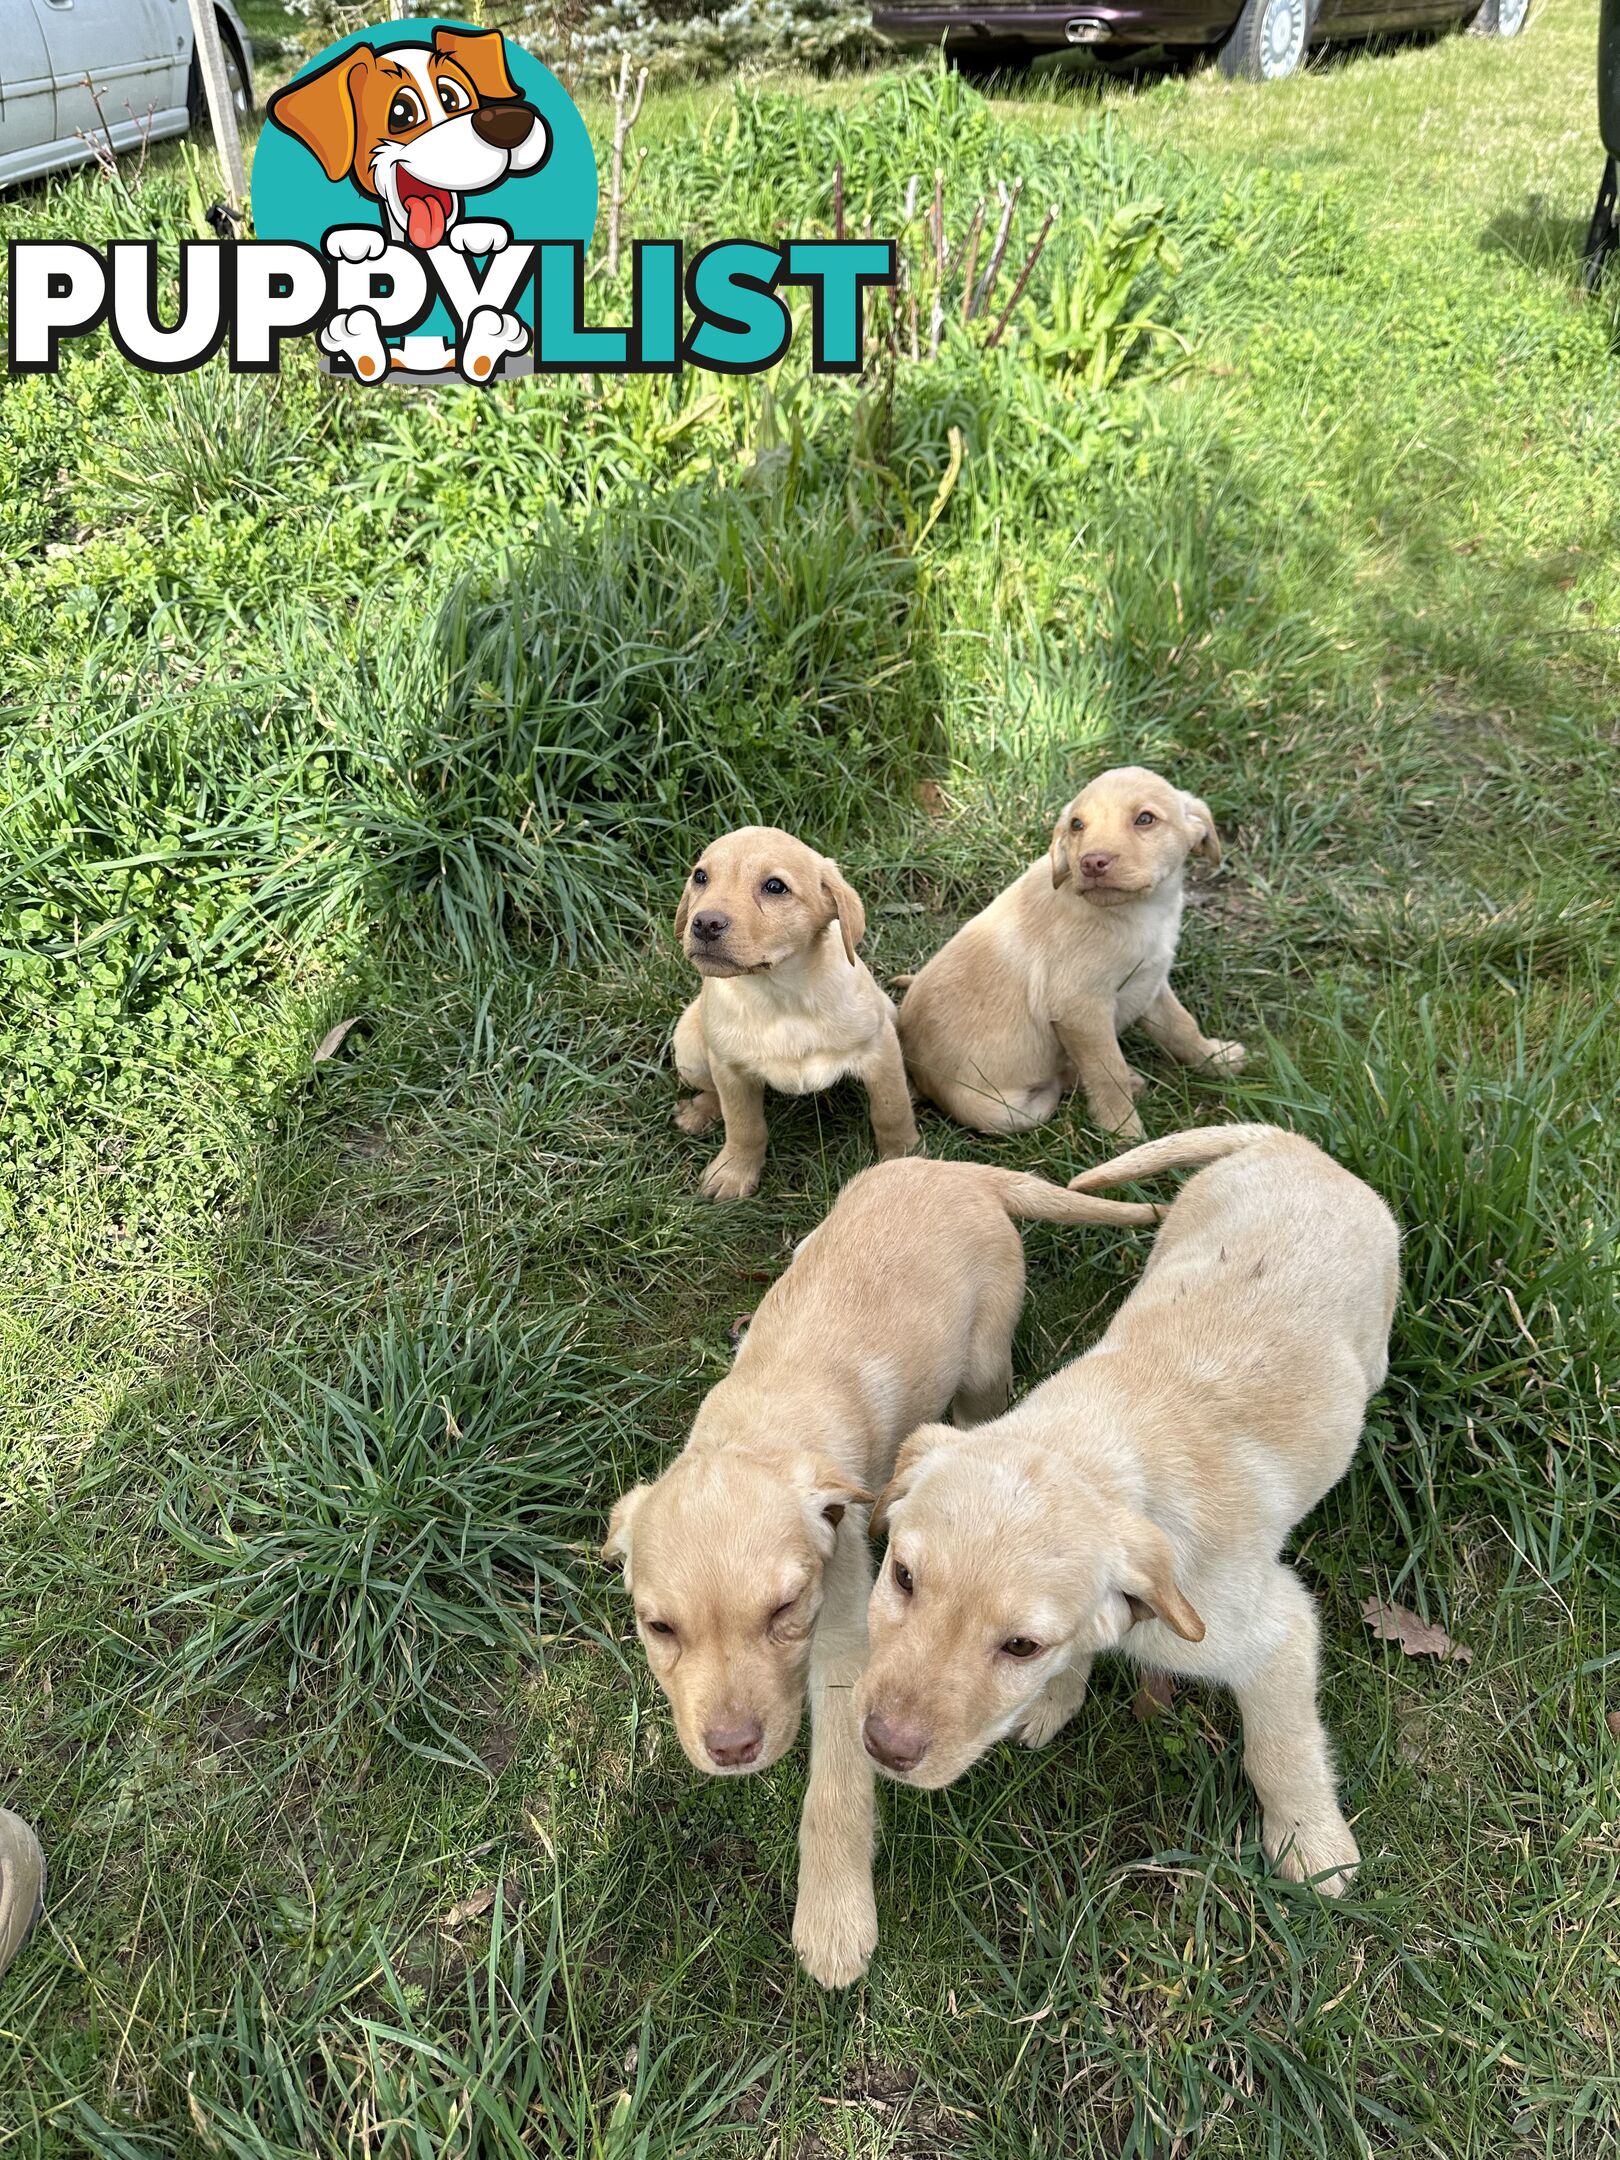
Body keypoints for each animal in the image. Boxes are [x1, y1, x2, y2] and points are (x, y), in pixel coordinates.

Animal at [604, 1157, 1157, 1978]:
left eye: (784, 1610)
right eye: (659, 1628)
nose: (733, 1752)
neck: (758, 1432)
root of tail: (951, 1167)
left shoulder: (844, 1646)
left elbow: (834, 1791)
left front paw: (834, 1919)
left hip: (986, 1351)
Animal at [673, 820, 920, 1200]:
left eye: (775, 887)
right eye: (700, 877)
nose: (704, 923)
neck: (781, 994)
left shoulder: (880, 1050)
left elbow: (890, 1109)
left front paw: (902, 1156)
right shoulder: (730, 1070)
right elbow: (744, 1125)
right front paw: (734, 1171)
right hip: (689, 1049)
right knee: (713, 1091)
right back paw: (700, 1110)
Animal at [855, 1123, 1399, 1900]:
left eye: (1020, 1646)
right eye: (902, 1578)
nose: (882, 1746)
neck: (1089, 1449)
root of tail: (1298, 1146)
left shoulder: (1277, 1634)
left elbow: (1281, 1749)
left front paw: (1311, 1845)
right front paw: (1054, 1700)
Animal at [902, 777, 1244, 1149]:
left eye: (1145, 819)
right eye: (1077, 825)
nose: (1092, 863)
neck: (1139, 912)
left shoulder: (1150, 982)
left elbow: (1182, 1027)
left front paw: (1216, 1059)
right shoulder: (1080, 1010)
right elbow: (1107, 1073)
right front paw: (1123, 1134)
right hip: (1004, 1112)